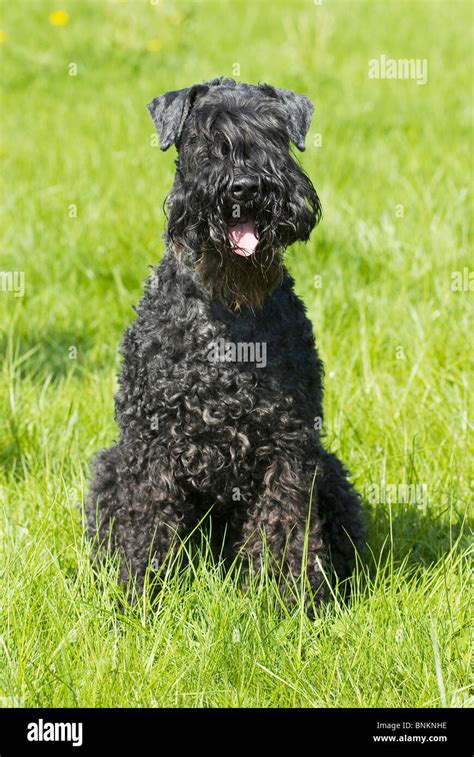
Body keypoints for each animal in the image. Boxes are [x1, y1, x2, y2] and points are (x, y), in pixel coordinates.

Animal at [88, 77, 362, 612]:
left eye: (274, 133)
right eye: (202, 138)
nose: (245, 186)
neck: (227, 315)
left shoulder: (289, 446)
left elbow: (285, 526)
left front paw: (289, 603)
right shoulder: (149, 446)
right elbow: (143, 523)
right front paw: (137, 600)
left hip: (331, 475)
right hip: (110, 466)